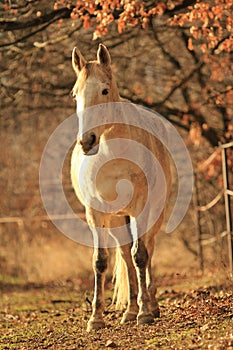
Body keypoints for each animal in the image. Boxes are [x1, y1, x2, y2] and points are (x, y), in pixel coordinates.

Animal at [70, 43, 171, 330]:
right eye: (75, 95)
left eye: (104, 90)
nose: (87, 141)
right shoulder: (95, 213)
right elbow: (100, 260)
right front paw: (96, 318)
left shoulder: (140, 209)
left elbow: (141, 255)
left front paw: (145, 313)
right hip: (116, 219)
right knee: (125, 254)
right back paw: (129, 310)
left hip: (154, 213)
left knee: (147, 248)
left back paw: (150, 306)